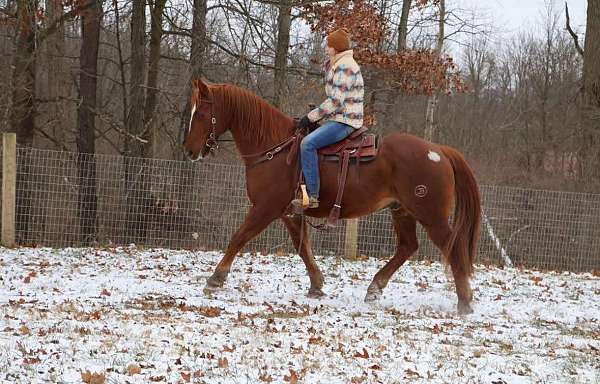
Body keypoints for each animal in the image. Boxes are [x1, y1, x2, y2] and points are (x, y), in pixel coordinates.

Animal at [185, 79, 480, 316]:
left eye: (201, 113)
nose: (189, 151)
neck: (275, 148)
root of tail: (438, 151)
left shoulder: (265, 208)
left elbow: (239, 237)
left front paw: (216, 278)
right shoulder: (289, 212)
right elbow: (303, 247)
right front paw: (317, 285)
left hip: (431, 216)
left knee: (452, 246)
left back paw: (464, 302)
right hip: (402, 211)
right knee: (408, 246)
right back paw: (374, 288)